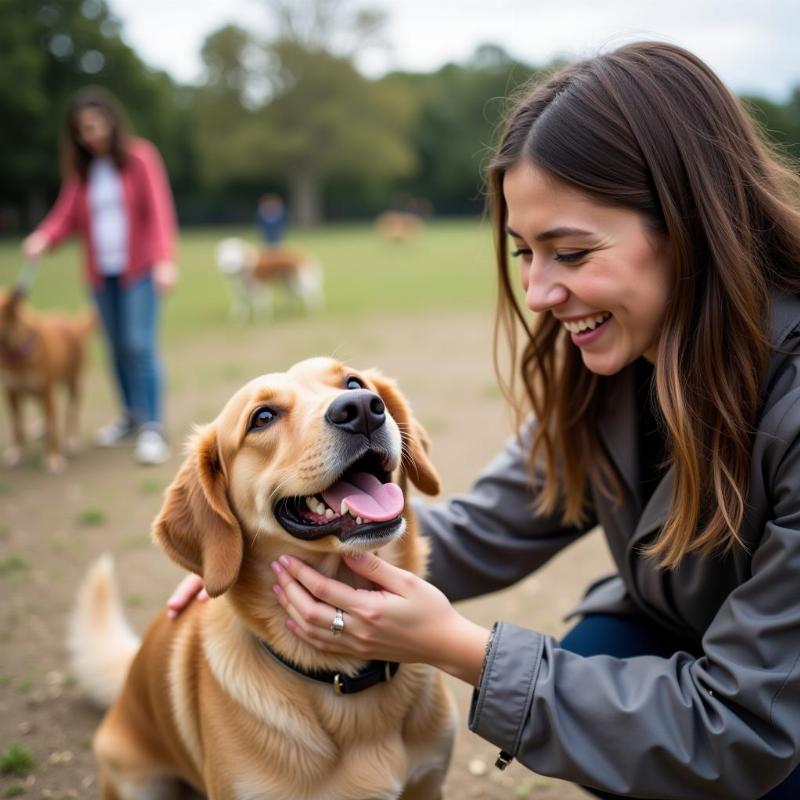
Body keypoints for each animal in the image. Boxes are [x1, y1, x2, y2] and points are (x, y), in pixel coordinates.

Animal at [0, 290, 94, 472]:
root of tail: (72, 324)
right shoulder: (11, 392)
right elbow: (17, 425)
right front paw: (16, 453)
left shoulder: (46, 393)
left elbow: (52, 429)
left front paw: (53, 458)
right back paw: (39, 429)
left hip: (72, 384)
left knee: (71, 412)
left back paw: (71, 439)